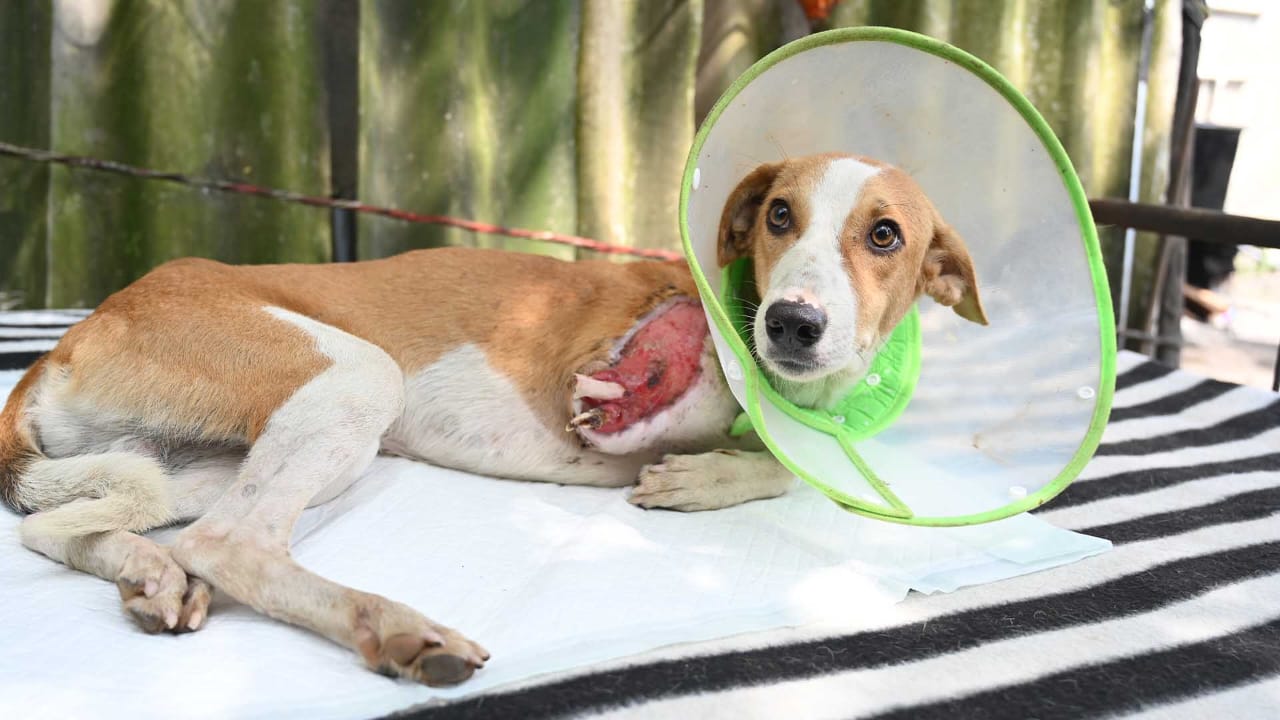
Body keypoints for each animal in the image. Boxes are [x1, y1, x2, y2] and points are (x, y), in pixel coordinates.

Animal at [0, 153, 986, 686]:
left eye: (886, 236)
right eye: (780, 215)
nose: (790, 324)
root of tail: (72, 338)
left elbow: (784, 459)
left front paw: (707, 472)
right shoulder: (580, 367)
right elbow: (741, 438)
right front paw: (692, 450)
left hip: (200, 458)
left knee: (61, 529)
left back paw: (150, 577)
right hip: (354, 383)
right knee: (231, 542)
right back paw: (396, 630)